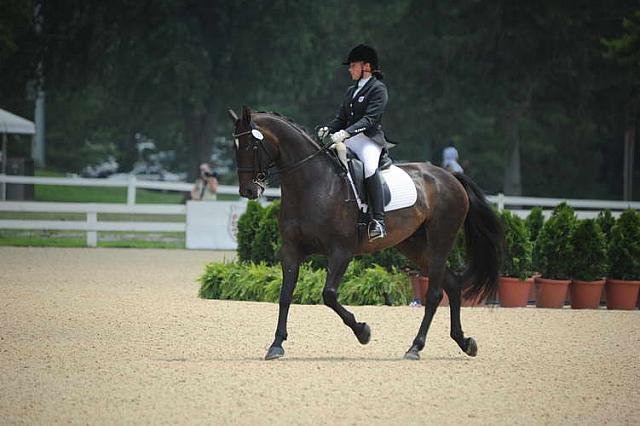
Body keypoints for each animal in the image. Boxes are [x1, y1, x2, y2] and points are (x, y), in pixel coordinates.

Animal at [228, 105, 502, 360]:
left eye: (251, 145)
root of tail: (450, 176)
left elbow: (328, 295)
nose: (248, 191)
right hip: (414, 246)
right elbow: (285, 296)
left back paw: (415, 347)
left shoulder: (341, 252)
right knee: (453, 284)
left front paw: (363, 332)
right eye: (234, 146)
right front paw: (276, 345)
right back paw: (464, 342)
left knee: (434, 294)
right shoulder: (291, 251)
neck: (313, 184)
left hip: (439, 242)